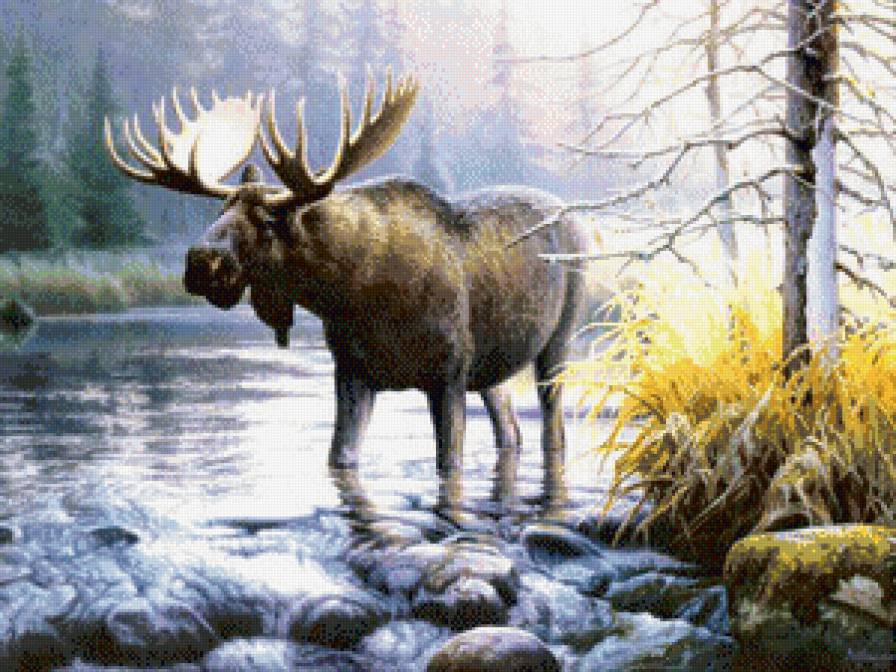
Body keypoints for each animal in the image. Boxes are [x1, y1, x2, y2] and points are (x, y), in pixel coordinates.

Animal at [104, 70, 588, 499]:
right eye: (220, 210)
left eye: (267, 223)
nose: (200, 261)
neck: (352, 293)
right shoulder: (353, 372)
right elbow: (340, 459)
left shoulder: (449, 373)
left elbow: (448, 464)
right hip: (491, 366)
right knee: (510, 429)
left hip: (557, 339)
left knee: (553, 427)